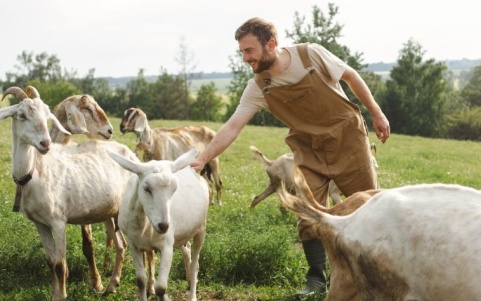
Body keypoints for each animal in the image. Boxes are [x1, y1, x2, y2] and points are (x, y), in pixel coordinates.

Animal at [1, 85, 136, 298]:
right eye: (21, 115)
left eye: (46, 115)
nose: (45, 143)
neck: (35, 172)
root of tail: (129, 152)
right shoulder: (40, 224)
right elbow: (51, 262)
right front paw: (54, 295)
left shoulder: (58, 221)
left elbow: (60, 264)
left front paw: (62, 295)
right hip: (111, 213)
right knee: (121, 245)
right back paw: (111, 286)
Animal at [107, 148, 208, 300]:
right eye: (146, 188)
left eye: (174, 189)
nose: (164, 225)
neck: (145, 224)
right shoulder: (134, 244)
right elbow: (141, 280)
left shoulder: (167, 245)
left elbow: (161, 288)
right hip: (181, 234)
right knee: (187, 249)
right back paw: (189, 281)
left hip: (200, 229)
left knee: (195, 265)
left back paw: (192, 295)